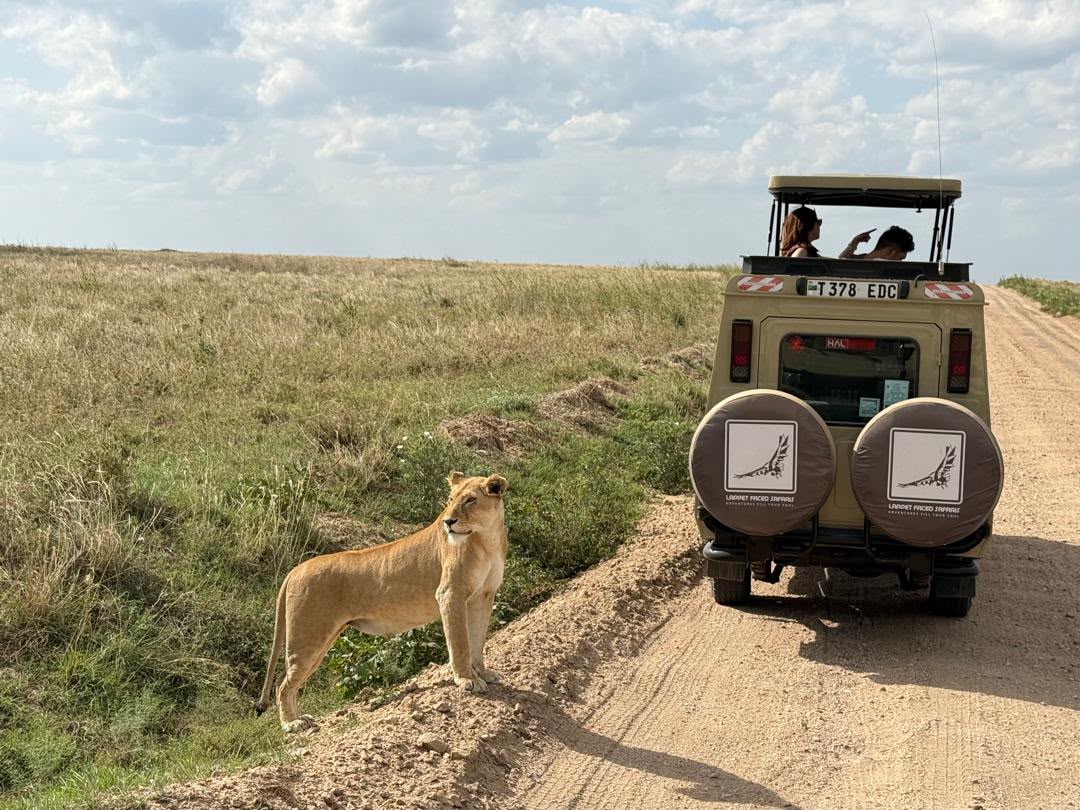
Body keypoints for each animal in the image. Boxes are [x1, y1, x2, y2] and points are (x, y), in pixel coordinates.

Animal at [254, 471, 508, 733]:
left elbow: (478, 639)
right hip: (308, 637)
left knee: (287, 680)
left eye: (470, 500)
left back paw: (298, 719)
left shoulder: (484, 595)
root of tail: (295, 570)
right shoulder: (450, 594)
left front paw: (482, 673)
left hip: (320, 640)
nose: (448, 522)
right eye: (450, 499)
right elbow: (460, 643)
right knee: (283, 684)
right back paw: (292, 723)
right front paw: (466, 679)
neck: (486, 538)